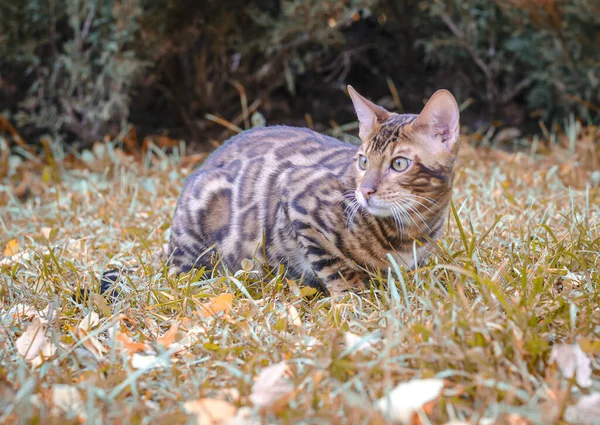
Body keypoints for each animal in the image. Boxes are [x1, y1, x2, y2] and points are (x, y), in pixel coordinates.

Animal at [165, 86, 460, 294]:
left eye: (399, 164)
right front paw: (353, 300)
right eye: (363, 162)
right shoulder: (299, 199)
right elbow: (335, 268)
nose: (364, 191)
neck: (410, 228)